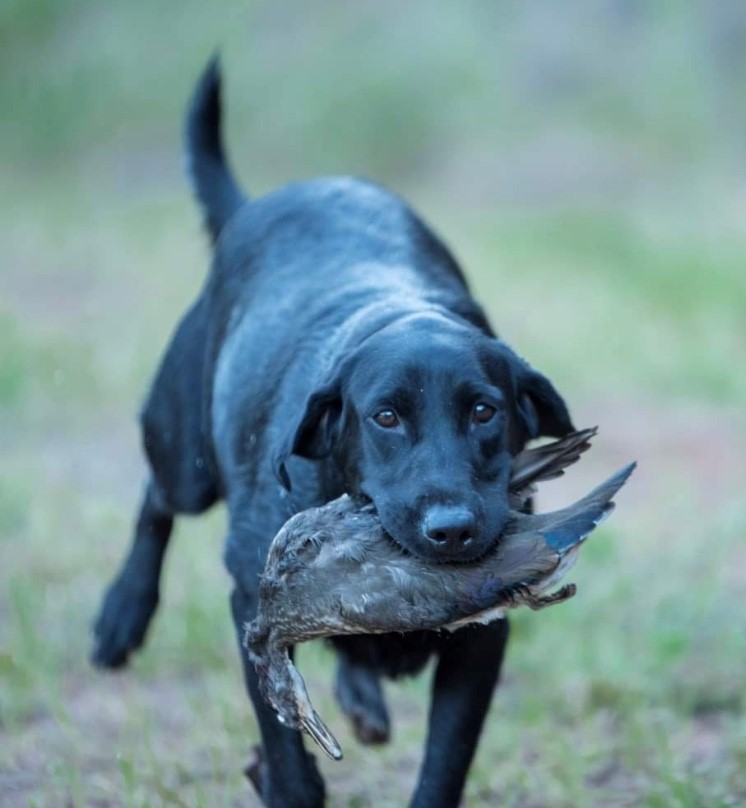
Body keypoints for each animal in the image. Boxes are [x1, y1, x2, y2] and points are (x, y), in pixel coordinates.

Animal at [91, 60, 568, 804]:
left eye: (485, 411)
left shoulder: (483, 638)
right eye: (386, 416)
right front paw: (284, 780)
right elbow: (286, 748)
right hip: (184, 452)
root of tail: (253, 206)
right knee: (157, 498)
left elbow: (445, 762)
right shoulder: (254, 605)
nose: (453, 530)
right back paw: (122, 615)